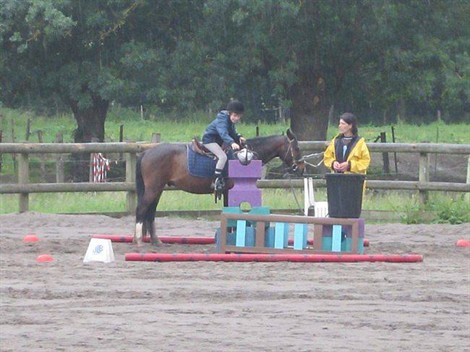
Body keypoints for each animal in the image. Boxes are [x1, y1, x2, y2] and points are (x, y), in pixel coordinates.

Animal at [133, 128, 304, 246]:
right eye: (296, 148)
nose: (301, 168)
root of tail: (147, 153)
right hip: (153, 189)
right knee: (142, 209)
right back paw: (139, 240)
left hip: (158, 189)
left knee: (151, 212)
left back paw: (156, 241)